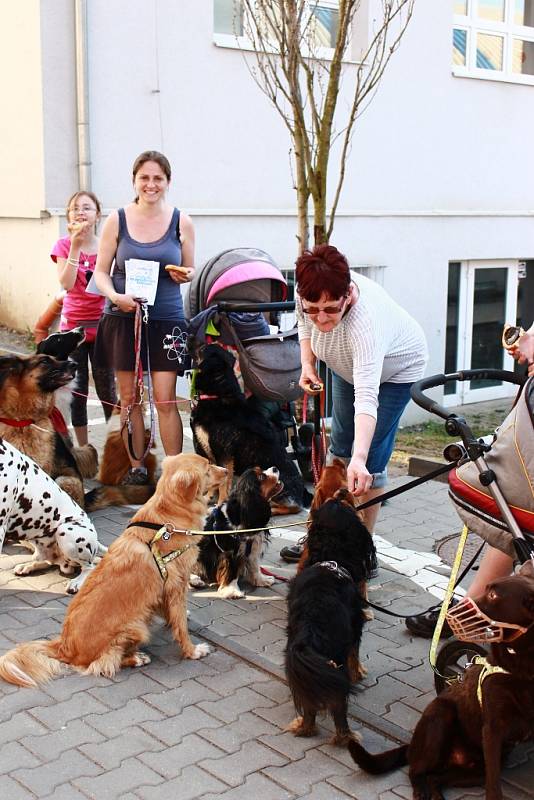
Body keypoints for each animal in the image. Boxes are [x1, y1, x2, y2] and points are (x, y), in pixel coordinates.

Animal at [0, 438, 107, 592]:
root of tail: (96, 542)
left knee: (90, 566)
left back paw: (76, 582)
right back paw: (27, 566)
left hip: (67, 532)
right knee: (48, 560)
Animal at [191, 346, 312, 516]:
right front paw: (208, 498)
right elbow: (214, 480)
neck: (218, 394)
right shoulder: (209, 451)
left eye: (201, 349)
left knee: (293, 507)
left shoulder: (224, 454)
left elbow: (222, 484)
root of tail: (303, 491)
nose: (188, 342)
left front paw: (219, 505)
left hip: (275, 483)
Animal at [193, 466, 284, 596]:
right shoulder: (231, 550)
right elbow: (232, 569)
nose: (275, 468)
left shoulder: (253, 546)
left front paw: (261, 580)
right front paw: (232, 590)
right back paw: (195, 580)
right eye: (261, 477)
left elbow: (255, 565)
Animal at [286, 490, 378, 748]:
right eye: (346, 504)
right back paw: (346, 737)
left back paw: (303, 727)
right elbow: (355, 654)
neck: (330, 557)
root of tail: (310, 632)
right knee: (338, 709)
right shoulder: (355, 629)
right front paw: (359, 673)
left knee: (309, 706)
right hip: (335, 667)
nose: (343, 491)